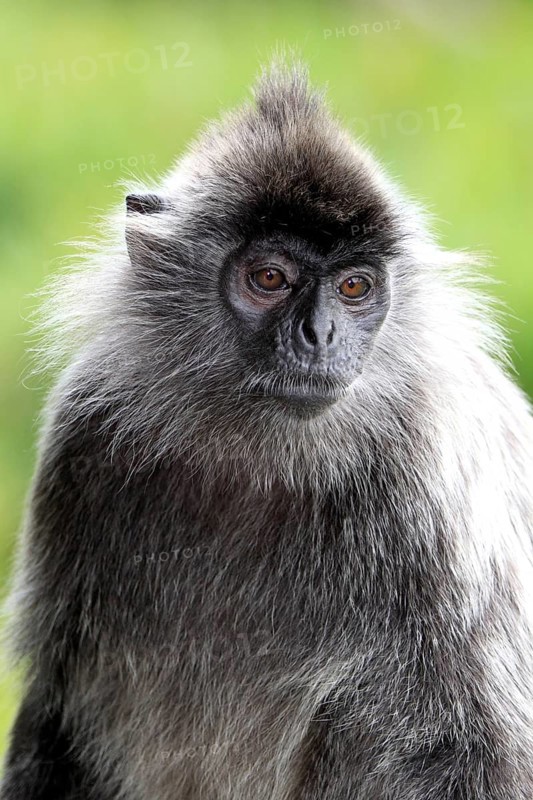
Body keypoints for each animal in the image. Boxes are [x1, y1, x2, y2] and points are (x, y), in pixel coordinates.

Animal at [1, 61, 533, 800]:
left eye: (354, 287)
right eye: (270, 278)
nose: (320, 336)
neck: (258, 453)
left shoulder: (429, 466)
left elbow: (474, 748)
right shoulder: (83, 433)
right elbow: (57, 710)